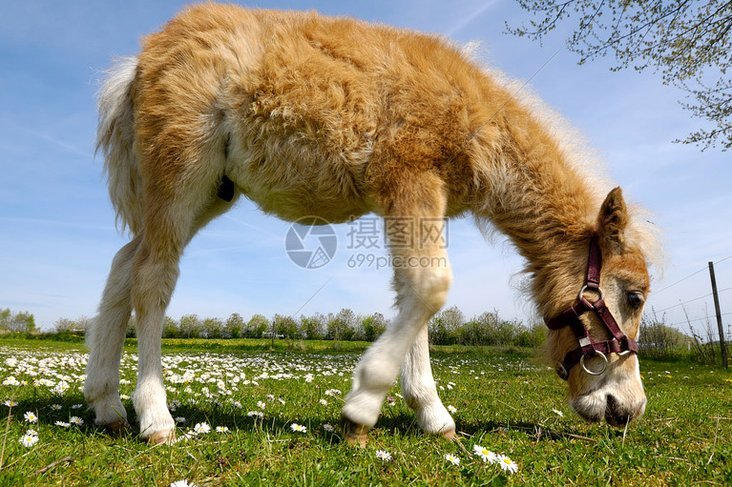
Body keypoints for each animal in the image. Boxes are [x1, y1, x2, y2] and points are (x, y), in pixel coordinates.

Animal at [84, 3, 657, 445]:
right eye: (633, 296)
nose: (629, 409)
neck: (472, 115)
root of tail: (138, 61)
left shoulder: (420, 200)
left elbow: (413, 295)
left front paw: (433, 417)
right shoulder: (409, 179)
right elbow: (430, 287)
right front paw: (361, 410)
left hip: (208, 193)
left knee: (124, 265)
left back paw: (107, 405)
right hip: (181, 170)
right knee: (152, 277)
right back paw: (154, 417)